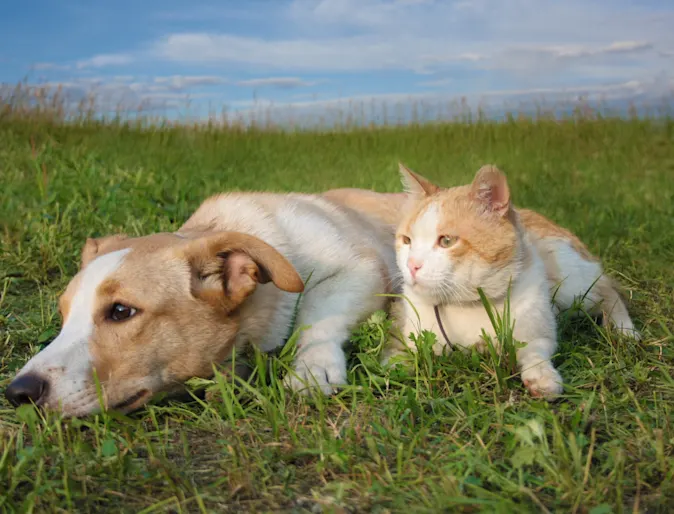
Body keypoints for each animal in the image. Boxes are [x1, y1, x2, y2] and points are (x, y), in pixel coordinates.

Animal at [3, 188, 404, 416]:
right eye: (64, 315)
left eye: (120, 311)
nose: (17, 393)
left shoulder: (362, 268)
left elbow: (316, 312)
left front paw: (311, 367)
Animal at [386, 162, 636, 398]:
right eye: (407, 240)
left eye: (447, 241)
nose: (412, 265)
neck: (465, 305)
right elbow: (401, 353)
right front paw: (397, 366)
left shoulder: (538, 330)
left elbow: (535, 350)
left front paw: (541, 375)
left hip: (571, 282)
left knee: (607, 291)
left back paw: (625, 330)